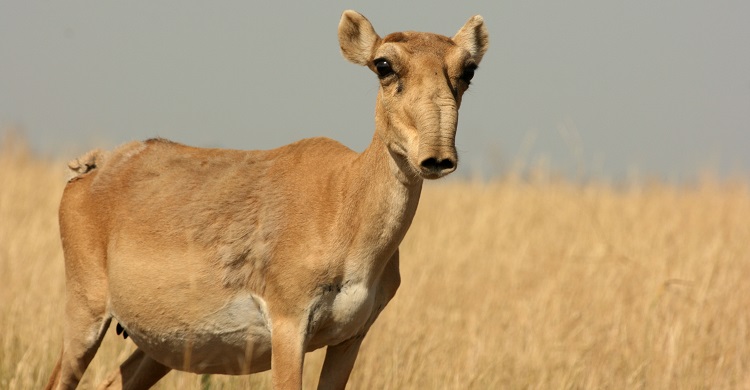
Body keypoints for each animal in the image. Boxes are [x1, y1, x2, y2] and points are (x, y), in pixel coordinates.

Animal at [48, 9, 494, 390]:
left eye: (468, 69)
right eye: (383, 64)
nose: (437, 158)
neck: (343, 199)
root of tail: (92, 169)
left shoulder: (350, 338)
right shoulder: (289, 326)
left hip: (157, 348)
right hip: (85, 319)